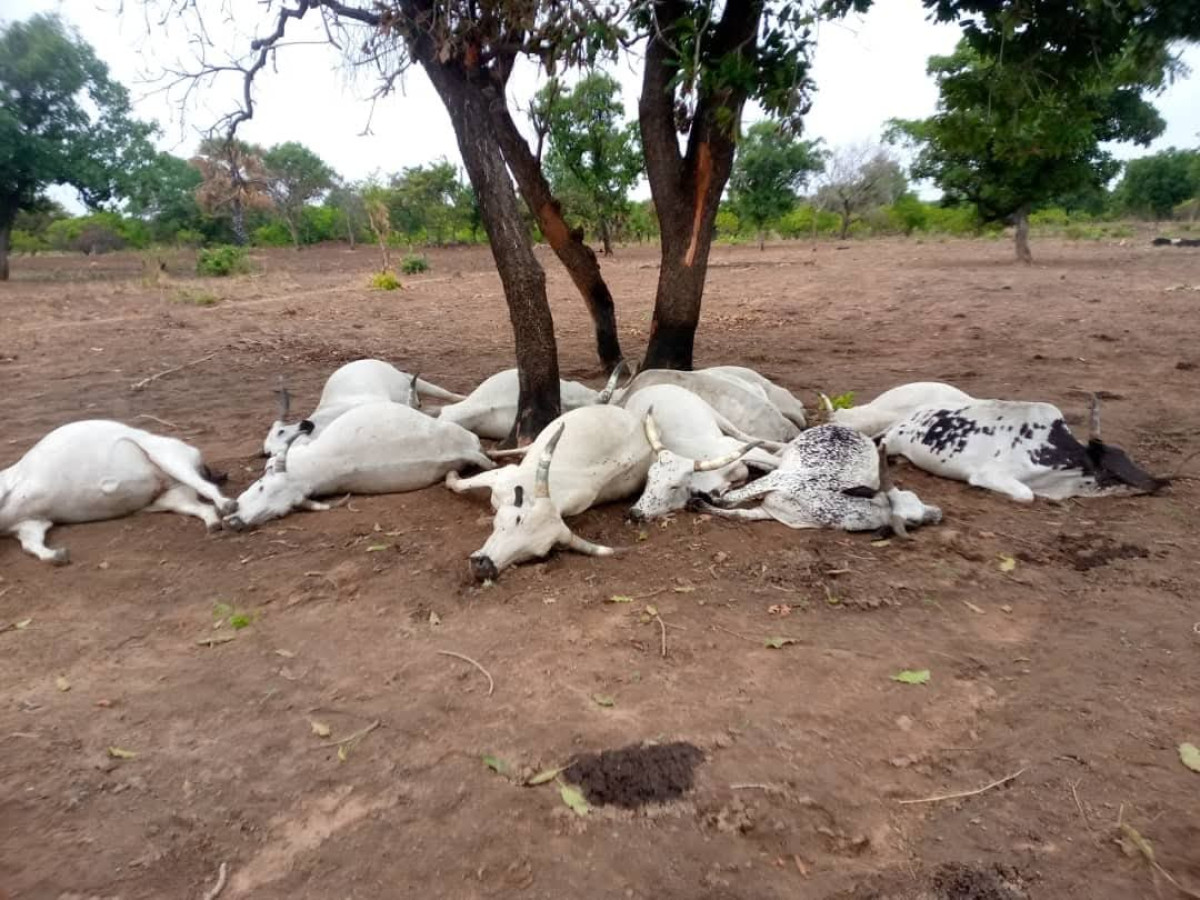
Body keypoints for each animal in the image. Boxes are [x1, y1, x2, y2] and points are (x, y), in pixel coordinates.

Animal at [1, 421, 237, 564]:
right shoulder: (32, 523)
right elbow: (30, 545)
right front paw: (57, 555)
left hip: (169, 459)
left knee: (208, 487)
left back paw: (228, 505)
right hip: (172, 497)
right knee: (203, 508)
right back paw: (214, 524)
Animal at [446, 405, 653, 580]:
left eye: (540, 554)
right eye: (518, 519)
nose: (485, 567)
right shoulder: (502, 475)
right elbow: (460, 485)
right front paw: (451, 475)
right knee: (524, 447)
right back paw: (492, 453)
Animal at [620, 385, 779, 521]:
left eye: (674, 486)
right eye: (649, 477)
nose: (636, 513)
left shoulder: (736, 447)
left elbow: (773, 462)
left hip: (715, 414)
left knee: (741, 434)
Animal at [694, 424, 942, 536]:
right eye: (914, 521)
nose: (938, 514)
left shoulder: (768, 511)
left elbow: (737, 513)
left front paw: (703, 503)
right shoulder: (781, 479)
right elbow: (734, 497)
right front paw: (707, 496)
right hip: (791, 452)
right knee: (771, 449)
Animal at [881, 395, 1166, 502]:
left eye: (1127, 457)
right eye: (1110, 471)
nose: (1160, 482)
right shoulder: (991, 474)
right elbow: (1026, 495)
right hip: (893, 440)